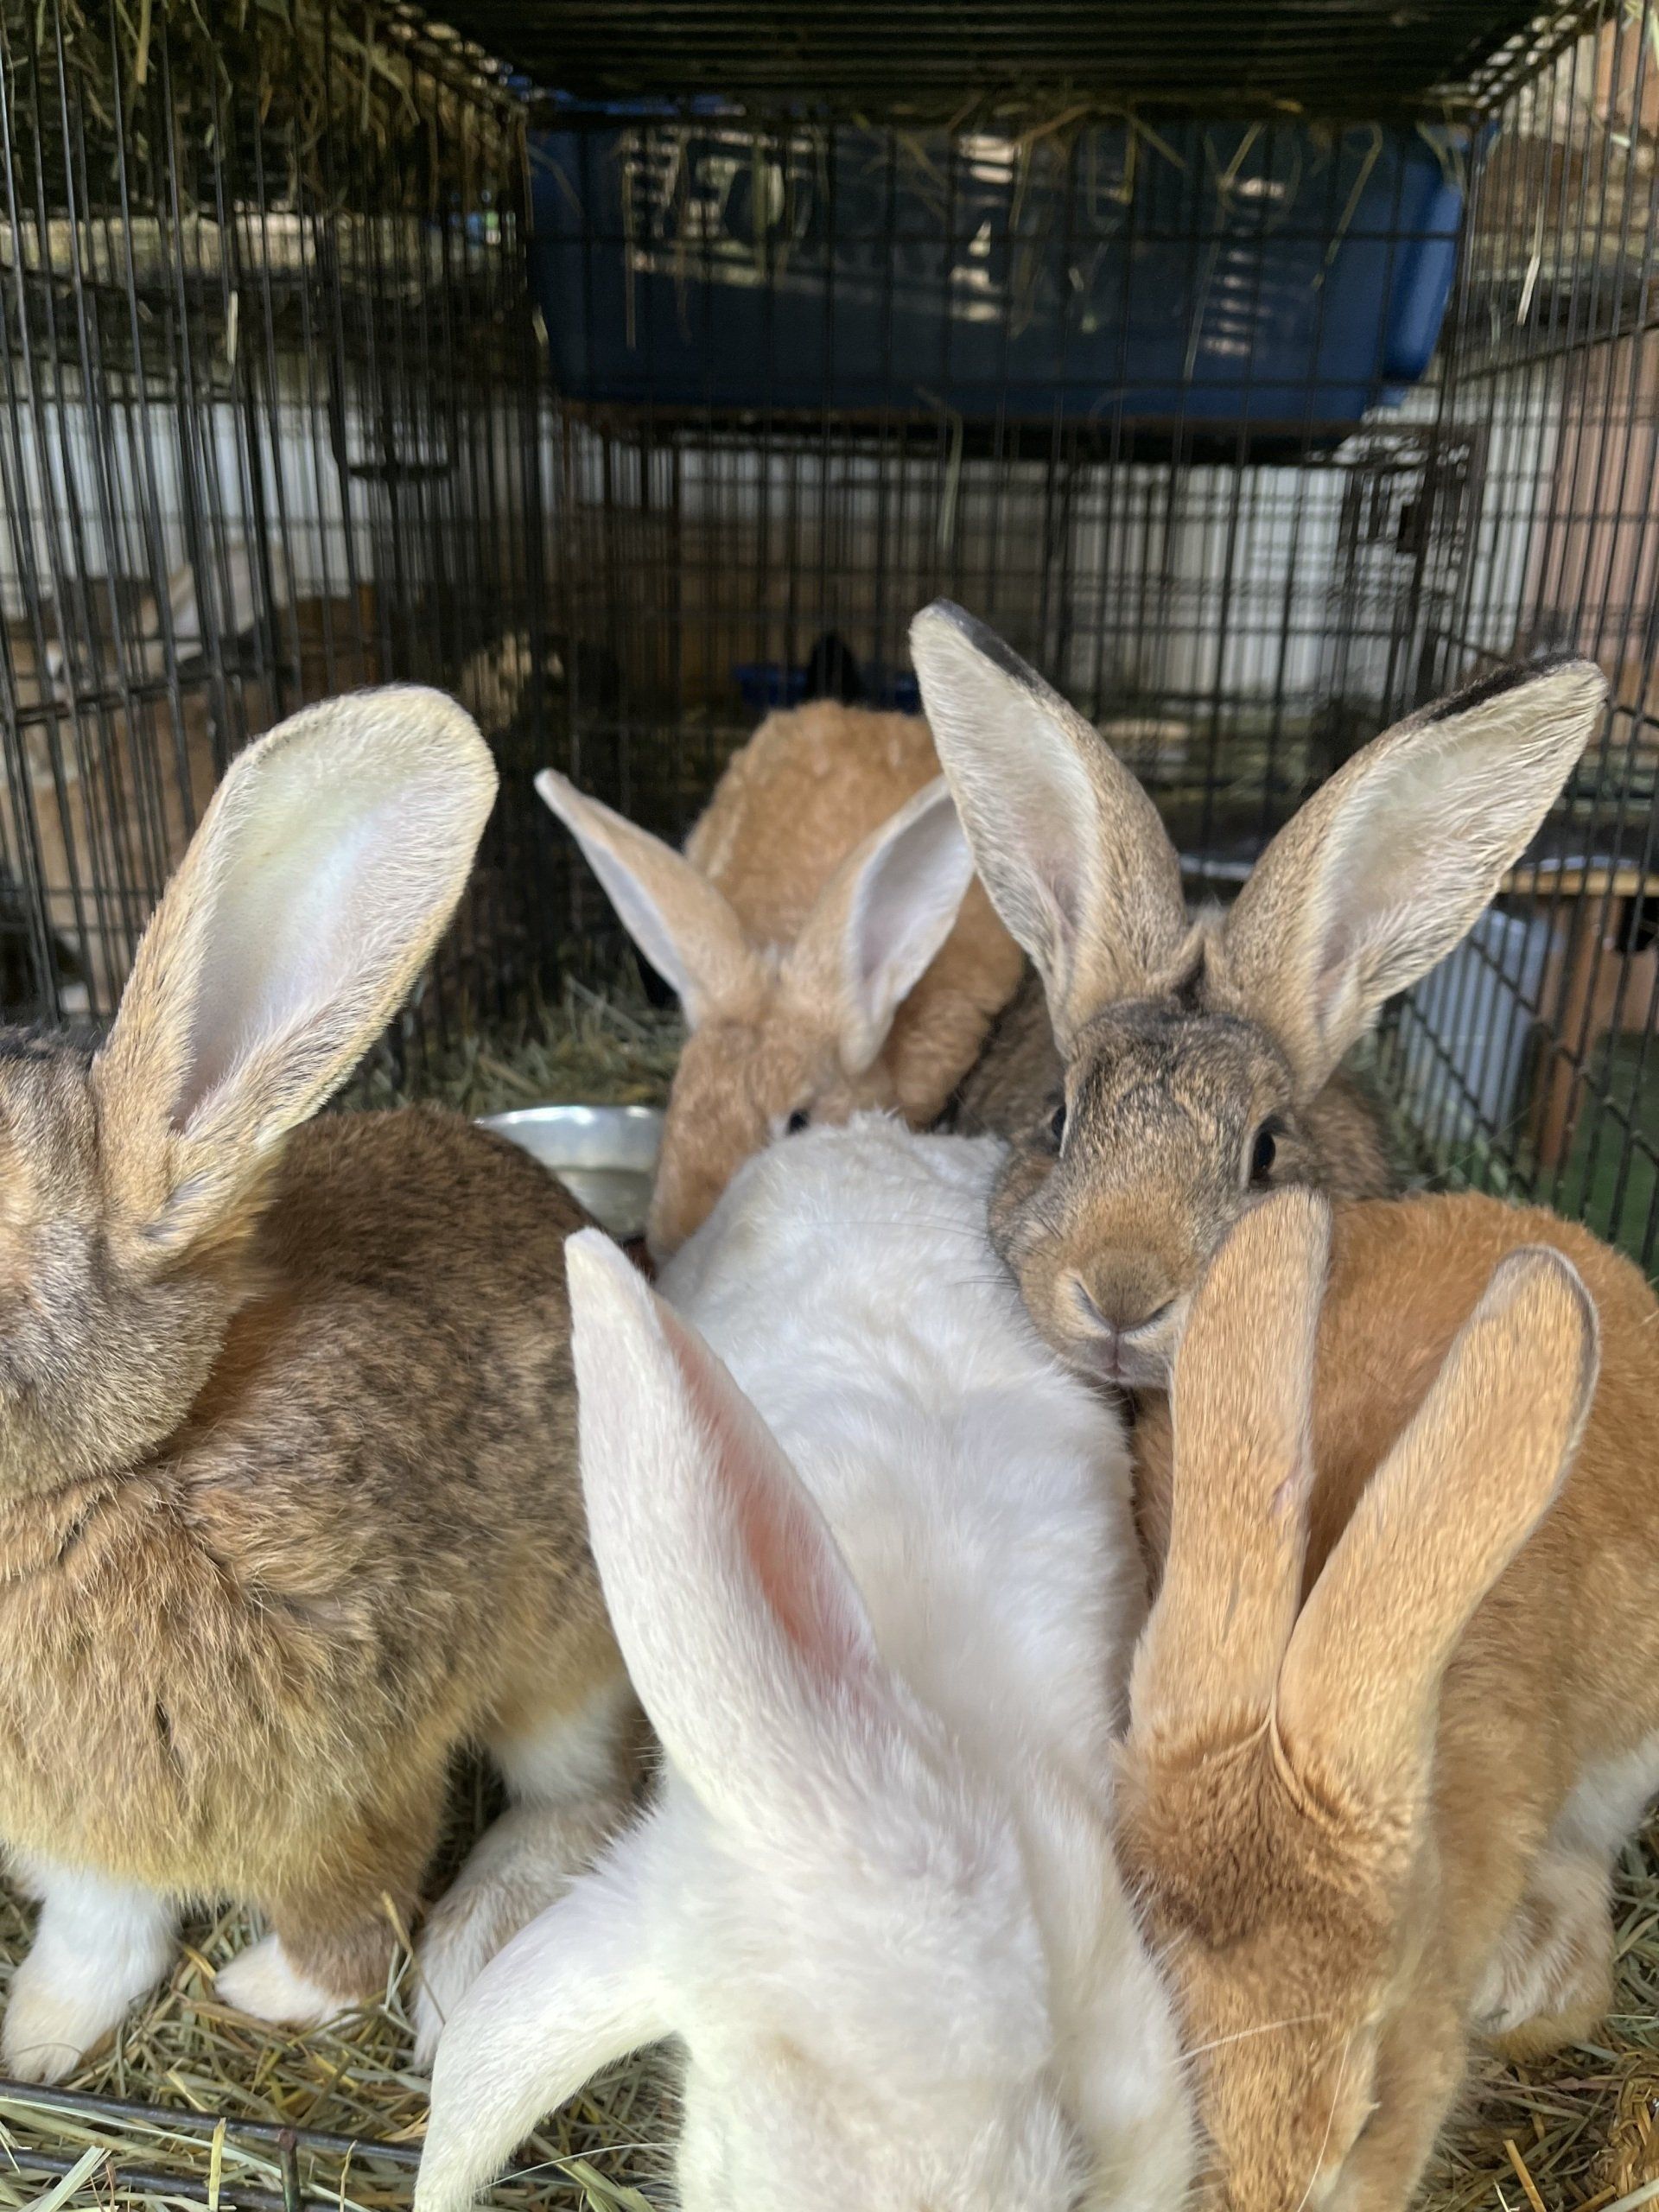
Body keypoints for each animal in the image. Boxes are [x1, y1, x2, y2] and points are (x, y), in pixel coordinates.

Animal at [0, 685, 631, 2085]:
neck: (125, 1469)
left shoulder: (352, 1781)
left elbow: (349, 1920)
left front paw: (269, 1995)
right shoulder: (83, 1845)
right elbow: (97, 1935)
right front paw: (37, 2040)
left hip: (571, 1646)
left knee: (584, 1790)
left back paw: (475, 1961)